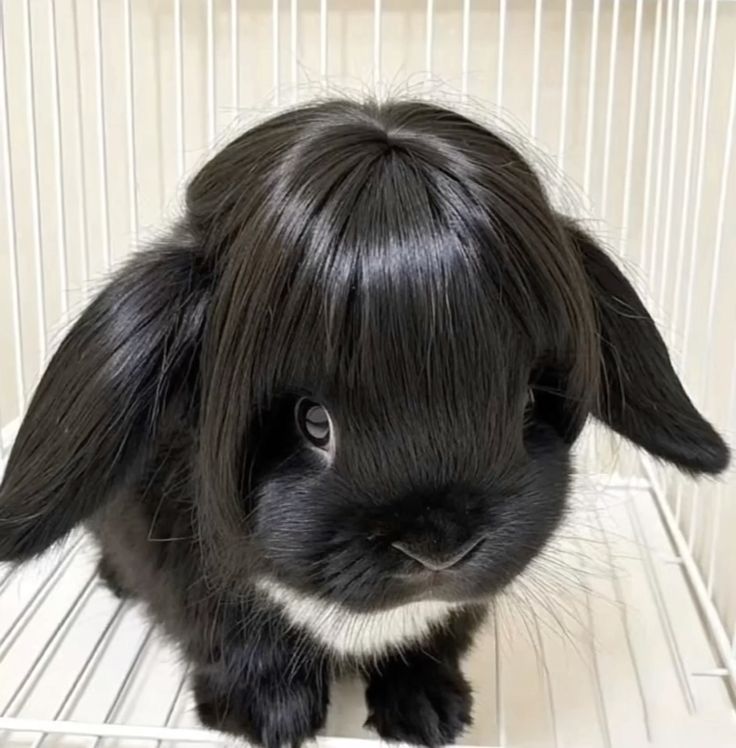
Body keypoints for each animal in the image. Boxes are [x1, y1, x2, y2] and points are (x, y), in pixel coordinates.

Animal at [0, 99, 729, 748]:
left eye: (526, 400)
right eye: (313, 422)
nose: (440, 550)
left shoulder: (451, 614)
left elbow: (429, 643)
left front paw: (432, 714)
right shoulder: (197, 584)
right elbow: (240, 640)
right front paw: (271, 718)